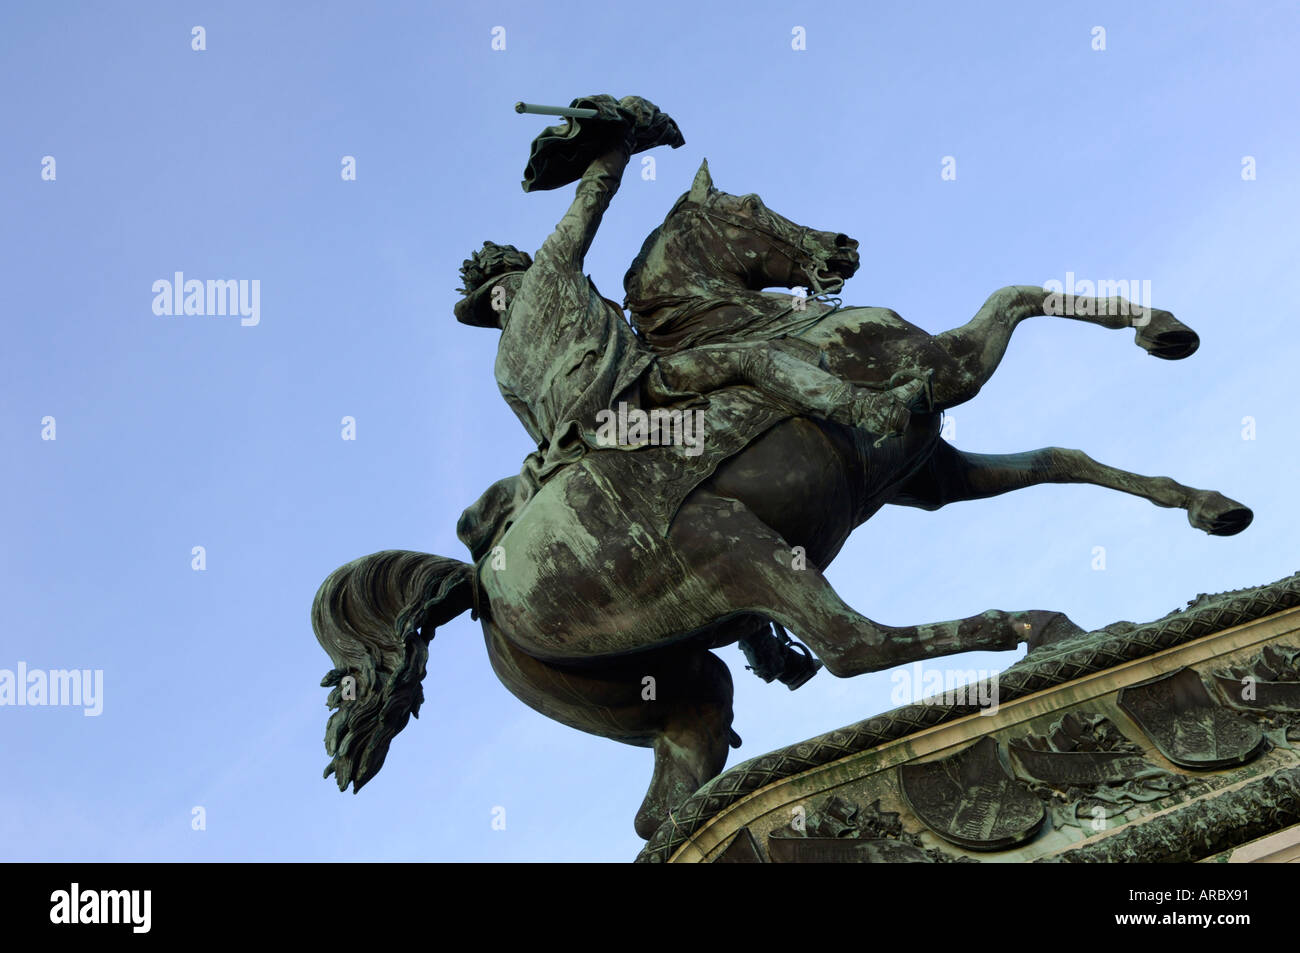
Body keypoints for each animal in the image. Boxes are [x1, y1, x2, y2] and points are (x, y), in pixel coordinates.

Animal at [309, 161, 1253, 842]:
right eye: (751, 203)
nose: (841, 244)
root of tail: (482, 587)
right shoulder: (947, 370)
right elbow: (1016, 296)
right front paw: (1162, 328)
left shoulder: (927, 475)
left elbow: (1064, 456)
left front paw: (1211, 505)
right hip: (740, 548)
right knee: (853, 645)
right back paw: (1037, 626)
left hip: (683, 683)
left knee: (665, 806)